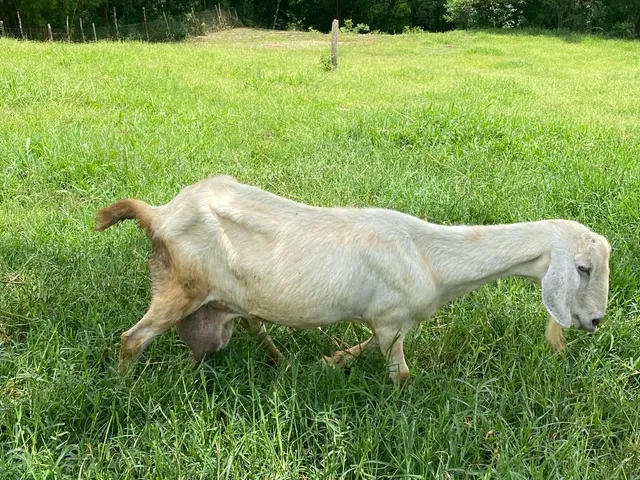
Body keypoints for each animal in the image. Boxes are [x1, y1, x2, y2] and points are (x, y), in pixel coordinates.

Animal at [96, 175, 611, 384]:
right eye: (583, 268)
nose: (595, 322)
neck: (430, 256)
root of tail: (159, 214)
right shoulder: (389, 318)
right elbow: (401, 374)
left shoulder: (388, 320)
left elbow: (364, 346)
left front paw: (329, 362)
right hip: (182, 288)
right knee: (132, 338)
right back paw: (125, 388)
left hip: (218, 311)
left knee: (235, 332)